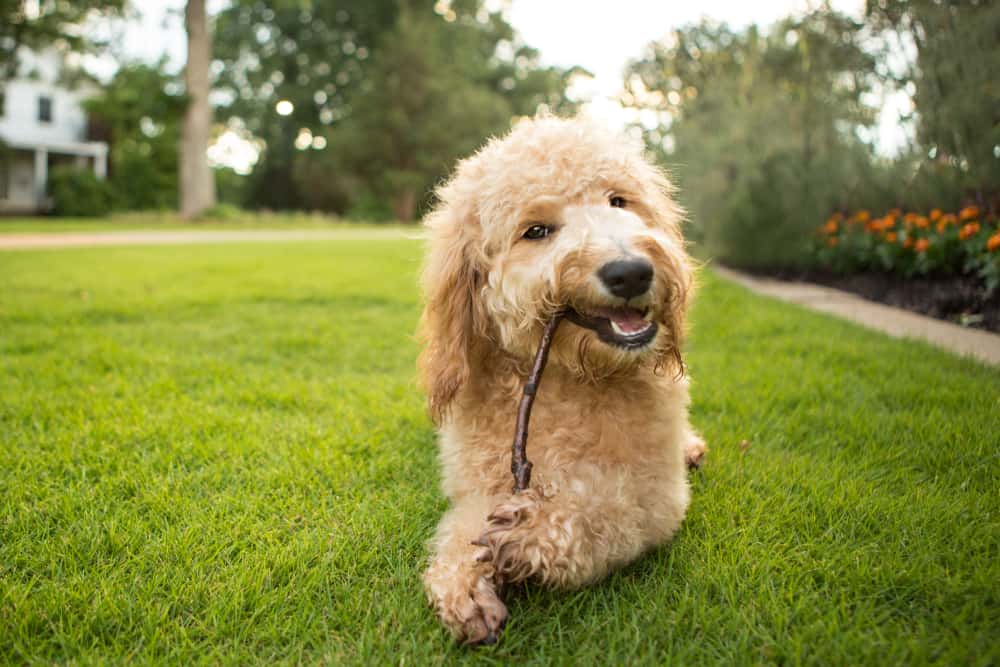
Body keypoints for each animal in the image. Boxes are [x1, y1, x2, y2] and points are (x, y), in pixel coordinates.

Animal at [418, 112, 708, 644]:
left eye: (619, 201)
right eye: (536, 231)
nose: (630, 272)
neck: (568, 377)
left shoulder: (658, 495)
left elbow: (610, 512)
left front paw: (533, 533)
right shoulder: (478, 485)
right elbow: (462, 528)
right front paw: (464, 582)